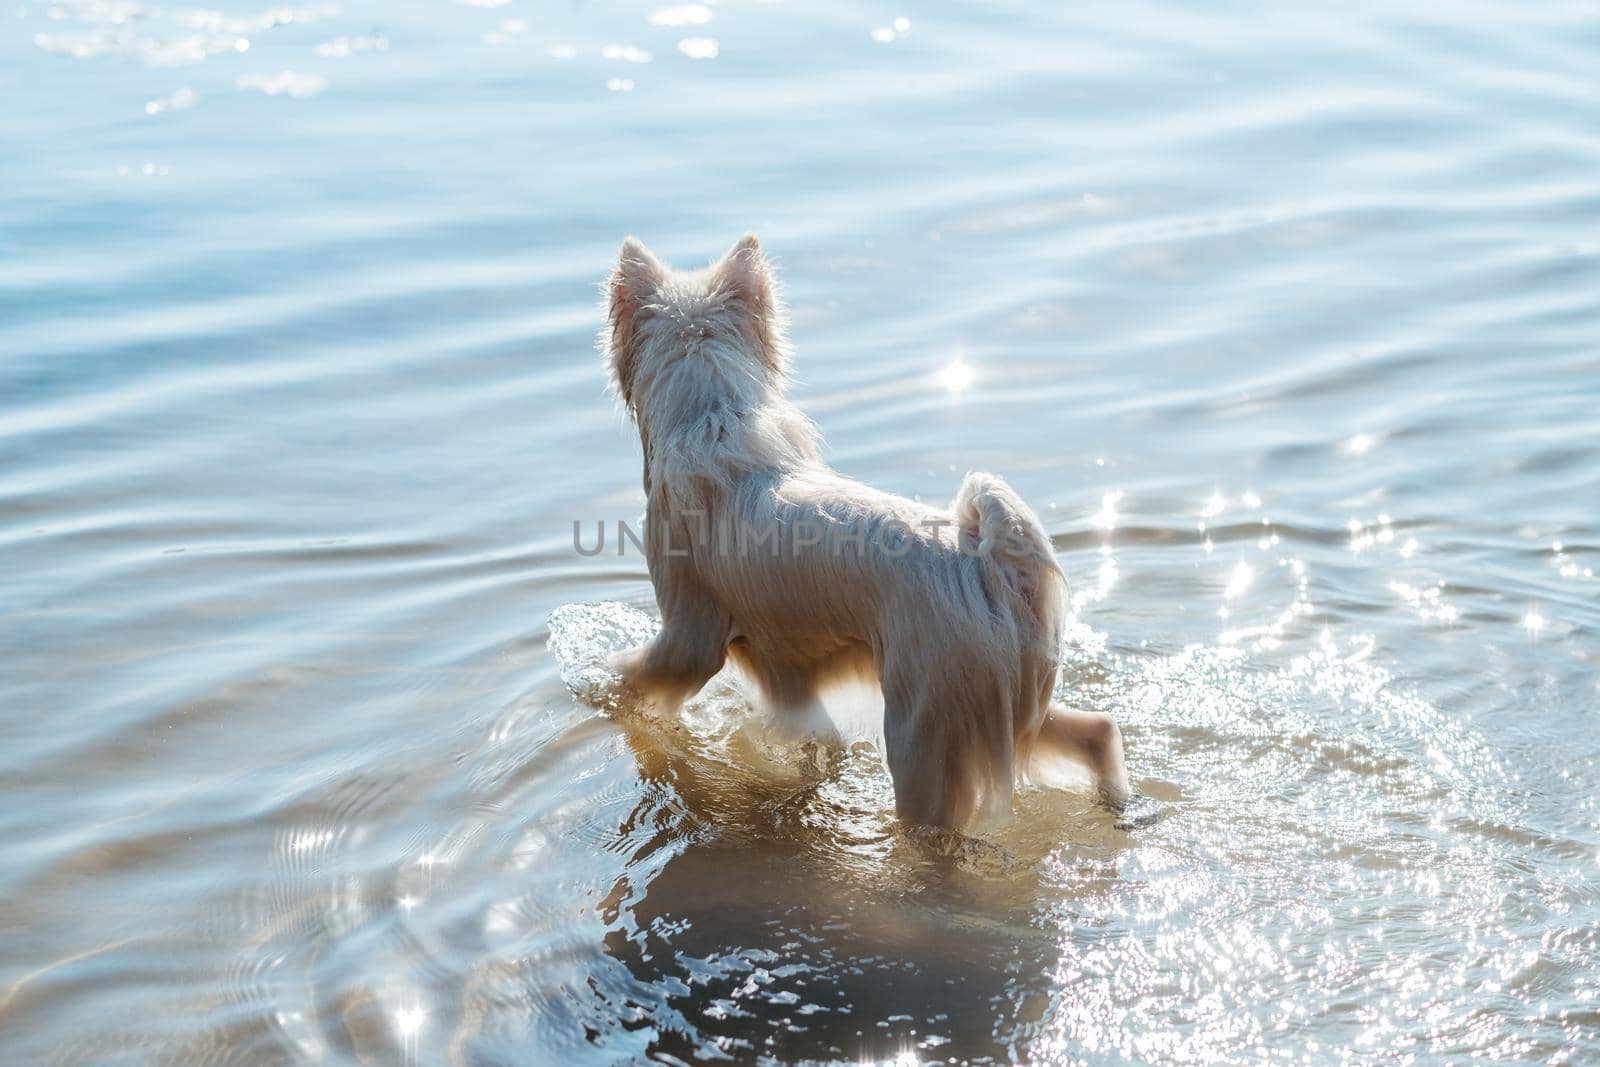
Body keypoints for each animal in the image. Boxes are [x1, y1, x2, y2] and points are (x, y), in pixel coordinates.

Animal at [601, 235, 1126, 831]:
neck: (714, 416)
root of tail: (988, 566)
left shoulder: (689, 635)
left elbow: (636, 679)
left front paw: (605, 691)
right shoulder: (788, 671)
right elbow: (810, 729)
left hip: (924, 735)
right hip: (1004, 705)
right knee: (1095, 731)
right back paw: (1119, 802)